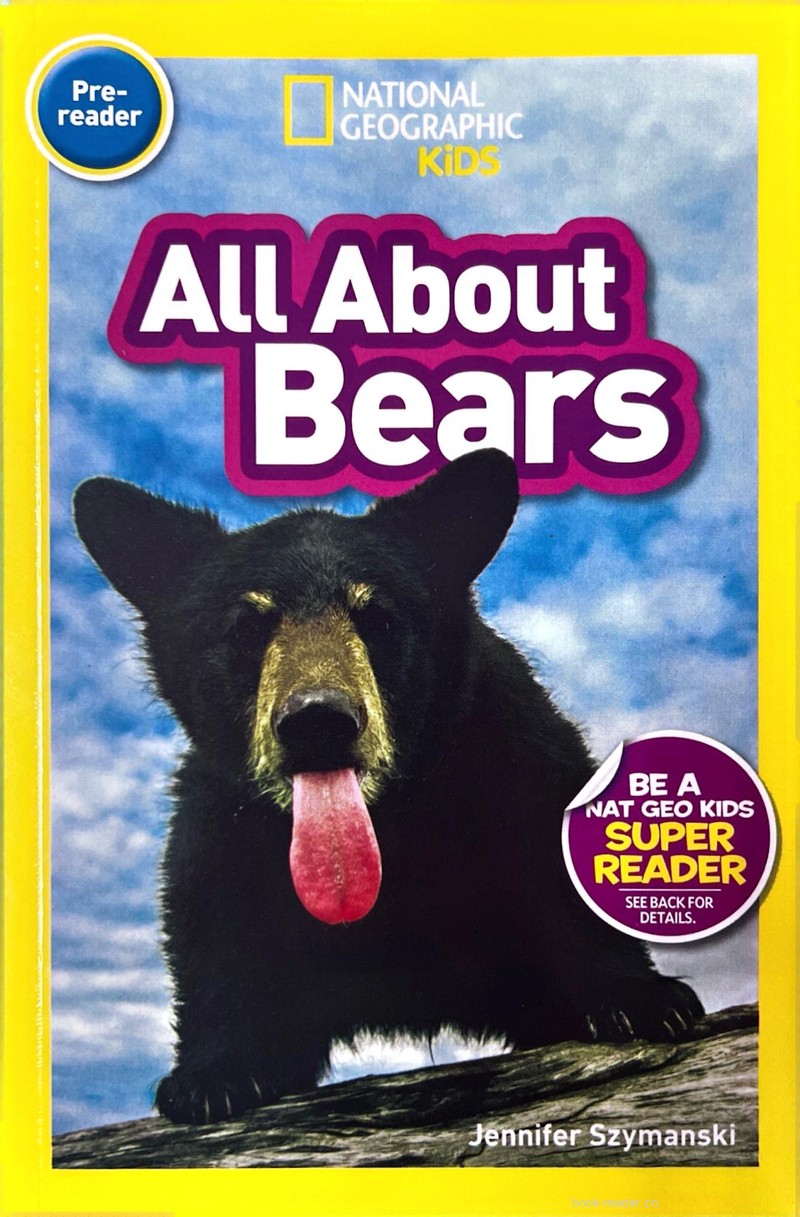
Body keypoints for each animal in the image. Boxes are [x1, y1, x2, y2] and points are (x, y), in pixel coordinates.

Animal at [73, 448, 703, 1126]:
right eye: (246, 626)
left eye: (378, 618)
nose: (318, 720)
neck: (389, 823)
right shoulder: (221, 825)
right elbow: (215, 924)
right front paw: (212, 1077)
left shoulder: (512, 754)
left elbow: (561, 860)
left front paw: (641, 1000)